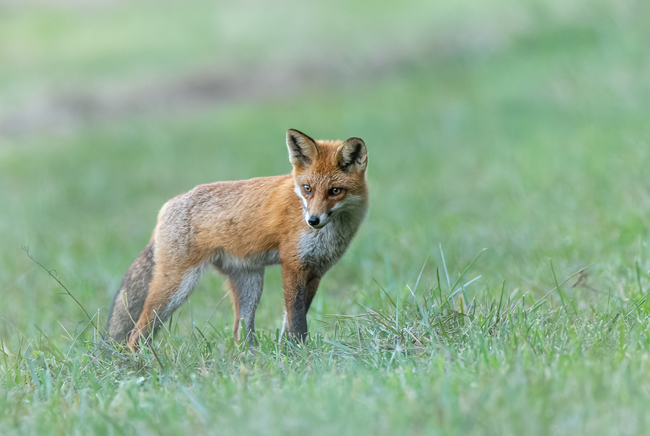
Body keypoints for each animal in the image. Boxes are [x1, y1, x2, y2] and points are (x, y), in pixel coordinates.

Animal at [109, 129, 368, 350]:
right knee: (136, 333)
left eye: (335, 191)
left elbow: (293, 319)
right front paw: (297, 354)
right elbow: (296, 321)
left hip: (249, 283)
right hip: (176, 286)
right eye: (308, 189)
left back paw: (252, 360)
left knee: (240, 335)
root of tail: (167, 206)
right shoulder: (293, 265)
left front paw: (287, 352)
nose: (312, 220)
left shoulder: (316, 270)